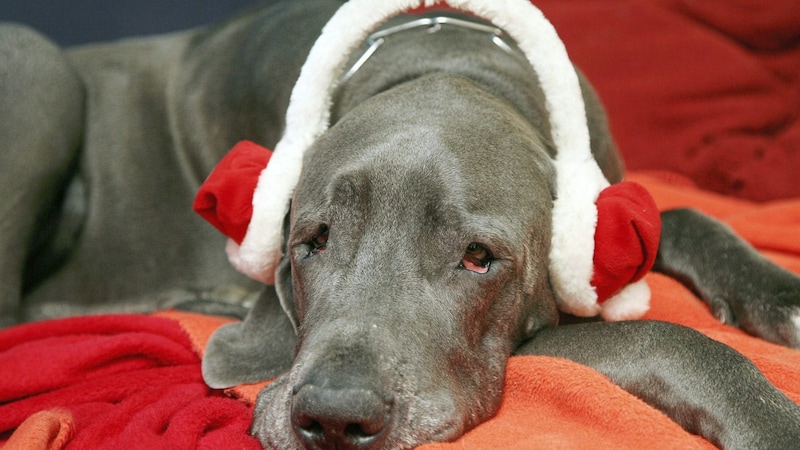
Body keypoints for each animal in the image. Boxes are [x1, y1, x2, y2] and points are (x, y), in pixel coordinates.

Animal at [4, 0, 800, 450]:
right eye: (313, 242)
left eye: (479, 257)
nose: (334, 418)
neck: (445, 61)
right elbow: (663, 334)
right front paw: (773, 420)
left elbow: (682, 214)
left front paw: (779, 295)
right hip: (38, 67)